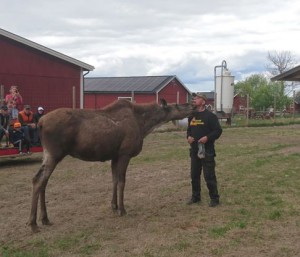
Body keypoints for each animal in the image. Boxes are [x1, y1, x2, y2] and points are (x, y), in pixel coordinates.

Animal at [28, 98, 195, 232]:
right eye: (178, 105)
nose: (193, 104)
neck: (144, 125)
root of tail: (40, 123)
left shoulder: (115, 156)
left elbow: (114, 180)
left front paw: (114, 206)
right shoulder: (124, 154)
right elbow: (122, 182)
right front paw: (122, 209)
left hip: (49, 154)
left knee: (42, 181)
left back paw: (44, 219)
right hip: (55, 153)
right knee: (38, 180)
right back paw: (33, 223)